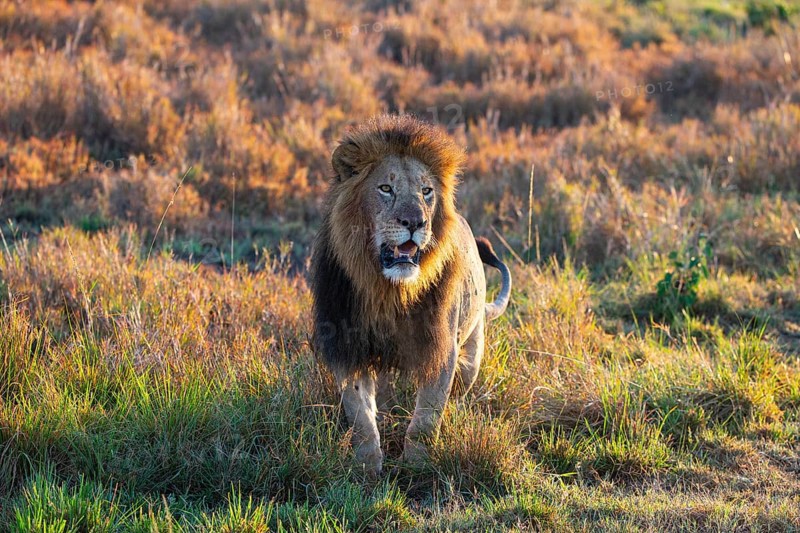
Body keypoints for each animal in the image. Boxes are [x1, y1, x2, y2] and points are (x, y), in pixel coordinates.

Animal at [310, 114, 511, 477]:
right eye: (385, 188)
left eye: (426, 191)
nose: (415, 222)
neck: (388, 291)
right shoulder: (347, 345)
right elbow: (360, 416)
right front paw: (367, 467)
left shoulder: (441, 349)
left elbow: (425, 420)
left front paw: (416, 466)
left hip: (472, 349)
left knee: (459, 389)